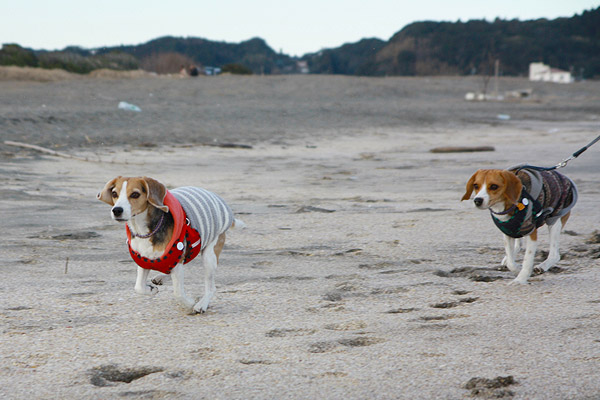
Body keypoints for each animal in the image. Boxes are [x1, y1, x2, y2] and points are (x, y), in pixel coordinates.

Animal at [97, 177, 243, 312]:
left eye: (135, 194)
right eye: (114, 193)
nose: (116, 210)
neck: (143, 231)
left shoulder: (177, 260)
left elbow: (178, 293)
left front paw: (190, 303)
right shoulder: (144, 260)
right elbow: (138, 287)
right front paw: (151, 290)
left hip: (210, 255)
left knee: (211, 287)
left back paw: (202, 304)